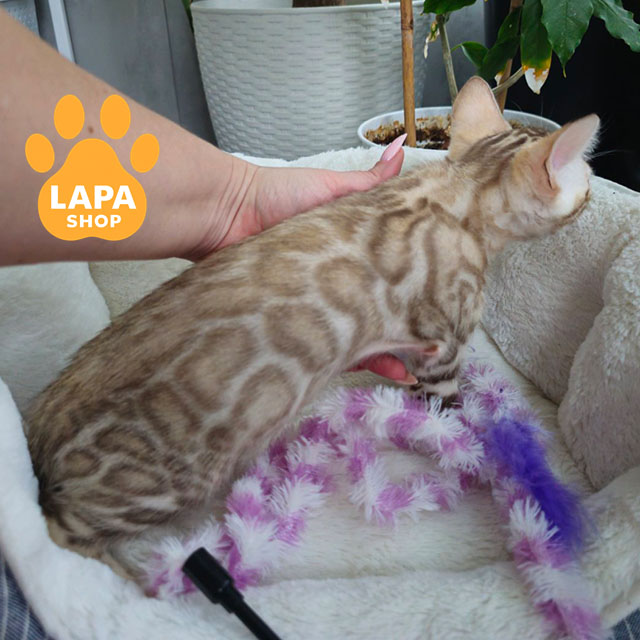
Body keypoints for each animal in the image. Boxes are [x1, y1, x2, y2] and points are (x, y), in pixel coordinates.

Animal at [26, 77, 599, 578]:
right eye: (587, 184)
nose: (594, 192)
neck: (459, 192)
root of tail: (40, 425)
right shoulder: (444, 343)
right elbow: (447, 404)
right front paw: (463, 436)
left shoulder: (419, 345)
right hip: (165, 483)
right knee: (58, 531)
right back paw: (131, 579)